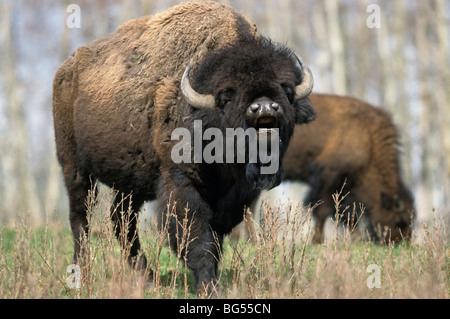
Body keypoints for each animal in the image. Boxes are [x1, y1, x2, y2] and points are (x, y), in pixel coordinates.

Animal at [52, 1, 314, 298]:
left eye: (287, 91)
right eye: (227, 96)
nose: (265, 107)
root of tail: (65, 71)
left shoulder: (234, 196)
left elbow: (216, 239)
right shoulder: (181, 183)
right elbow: (198, 237)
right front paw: (209, 288)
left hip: (129, 185)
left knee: (121, 220)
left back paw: (147, 278)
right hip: (74, 167)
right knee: (80, 218)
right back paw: (83, 277)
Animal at [284, 94, 416, 244]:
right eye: (398, 220)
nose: (401, 243)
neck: (369, 139)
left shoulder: (344, 184)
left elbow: (346, 213)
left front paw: (357, 239)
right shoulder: (328, 177)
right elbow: (323, 209)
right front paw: (317, 241)